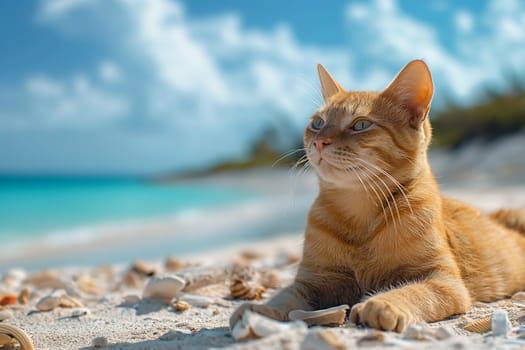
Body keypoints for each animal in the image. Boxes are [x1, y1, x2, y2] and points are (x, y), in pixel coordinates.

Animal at [230, 59, 525, 330]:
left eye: (360, 125)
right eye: (317, 123)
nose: (319, 142)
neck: (358, 209)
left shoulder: (443, 280)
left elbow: (415, 291)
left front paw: (383, 303)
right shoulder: (314, 280)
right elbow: (285, 296)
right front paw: (259, 310)